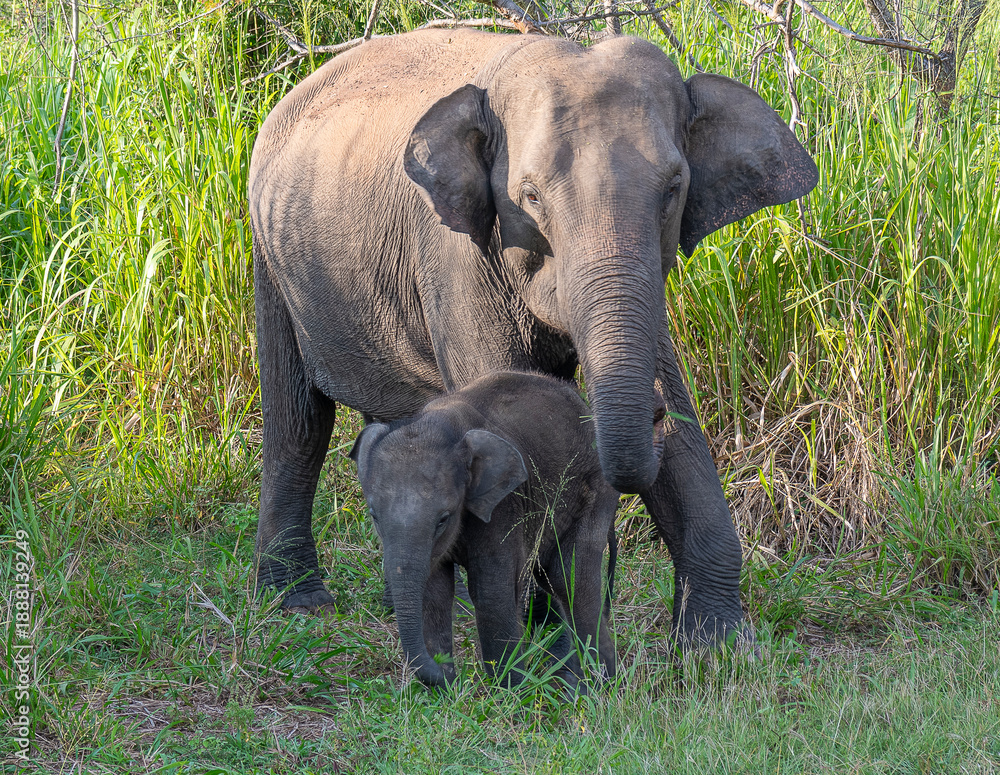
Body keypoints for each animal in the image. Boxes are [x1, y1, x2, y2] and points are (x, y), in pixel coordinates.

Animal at [248, 28, 818, 648]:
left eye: (673, 188)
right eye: (531, 196)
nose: (654, 415)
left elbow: (680, 427)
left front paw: (717, 646)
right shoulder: (458, 257)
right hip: (271, 255)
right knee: (298, 421)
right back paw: (297, 600)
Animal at [349, 370, 620, 688]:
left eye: (443, 519)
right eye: (374, 516)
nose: (449, 675)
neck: (440, 423)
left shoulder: (503, 505)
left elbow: (491, 591)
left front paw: (510, 690)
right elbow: (434, 591)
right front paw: (445, 687)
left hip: (596, 487)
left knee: (571, 576)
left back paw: (598, 684)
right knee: (553, 575)